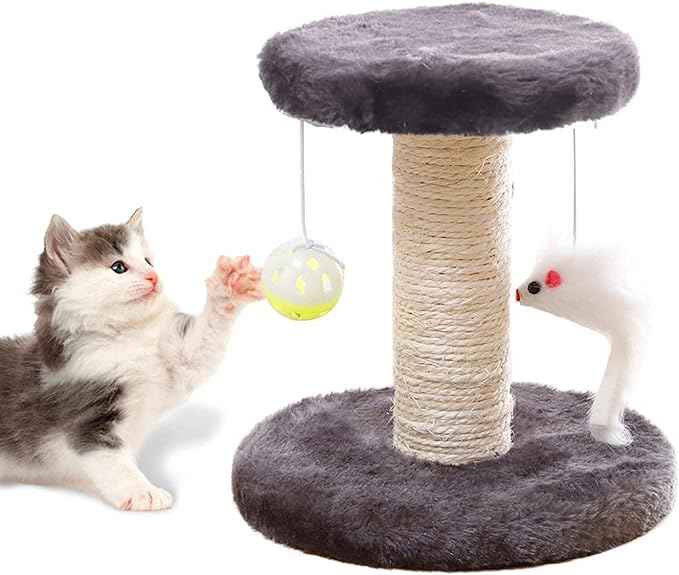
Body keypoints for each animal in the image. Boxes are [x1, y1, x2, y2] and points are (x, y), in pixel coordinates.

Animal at [0, 209, 262, 510]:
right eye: (118, 267)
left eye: (148, 261)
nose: (154, 277)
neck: (125, 338)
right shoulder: (86, 415)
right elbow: (113, 461)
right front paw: (142, 491)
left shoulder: (172, 370)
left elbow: (198, 349)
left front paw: (229, 286)